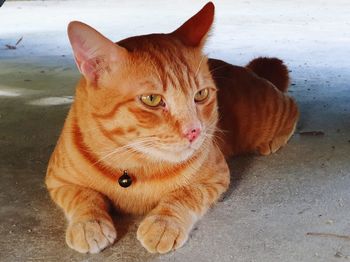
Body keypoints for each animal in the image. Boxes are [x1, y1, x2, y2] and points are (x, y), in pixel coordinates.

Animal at [45, 0, 298, 254]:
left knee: (293, 106)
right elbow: (83, 196)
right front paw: (89, 224)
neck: (134, 167)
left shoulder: (215, 176)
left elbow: (184, 194)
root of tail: (243, 69)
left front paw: (163, 223)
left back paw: (274, 140)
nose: (194, 131)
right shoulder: (57, 180)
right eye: (152, 99)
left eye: (201, 95)